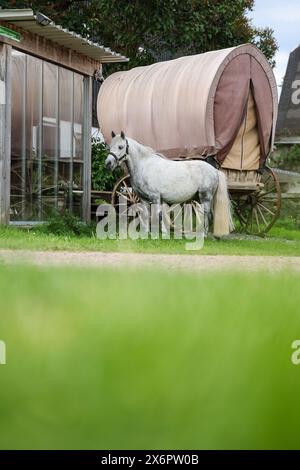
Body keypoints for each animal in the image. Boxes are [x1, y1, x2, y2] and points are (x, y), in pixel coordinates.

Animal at [105, 131, 234, 237]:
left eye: (120, 146)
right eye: (110, 146)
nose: (108, 164)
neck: (144, 166)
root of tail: (214, 170)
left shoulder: (156, 197)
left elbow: (159, 214)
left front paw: (164, 233)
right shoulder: (144, 199)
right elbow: (146, 214)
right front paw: (145, 233)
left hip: (205, 197)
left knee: (206, 213)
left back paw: (204, 234)